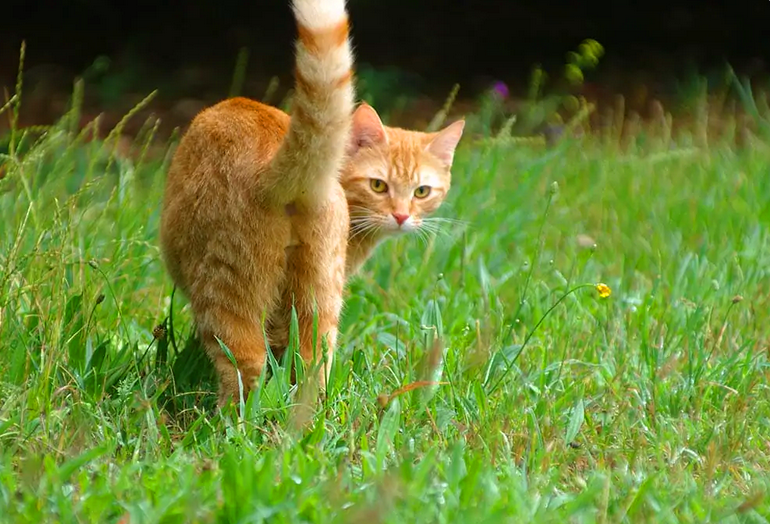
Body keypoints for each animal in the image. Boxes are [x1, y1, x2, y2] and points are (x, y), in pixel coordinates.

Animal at [160, 0, 464, 406]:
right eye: (379, 185)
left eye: (421, 192)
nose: (401, 216)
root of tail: (274, 163)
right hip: (317, 294)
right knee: (312, 361)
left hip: (227, 287)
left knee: (246, 363)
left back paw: (224, 416)